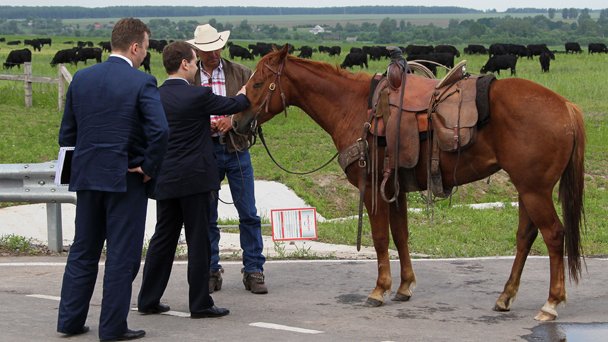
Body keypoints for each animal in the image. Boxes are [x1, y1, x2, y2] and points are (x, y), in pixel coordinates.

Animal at [233, 45, 584, 320]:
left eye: (259, 82)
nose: (236, 122)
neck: (353, 106)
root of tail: (566, 106)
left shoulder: (373, 188)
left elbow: (379, 239)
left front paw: (379, 290)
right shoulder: (396, 189)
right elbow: (400, 235)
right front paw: (404, 287)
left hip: (535, 191)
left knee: (554, 235)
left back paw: (551, 303)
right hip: (527, 189)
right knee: (525, 236)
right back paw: (505, 296)